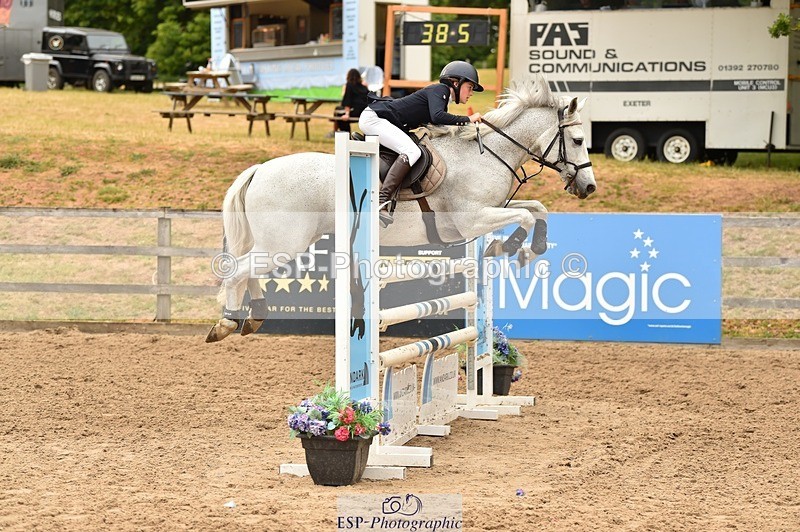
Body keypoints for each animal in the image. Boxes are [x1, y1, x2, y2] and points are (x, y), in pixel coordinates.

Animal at [206, 76, 596, 342]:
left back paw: (253, 317)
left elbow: (538, 208)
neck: (486, 154)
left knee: (248, 270)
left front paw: (532, 247)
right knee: (238, 271)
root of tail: (260, 169)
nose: (589, 187)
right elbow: (525, 215)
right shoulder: (472, 220)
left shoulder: (491, 208)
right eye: (578, 141)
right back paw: (226, 322)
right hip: (285, 244)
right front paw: (511, 247)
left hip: (275, 245)